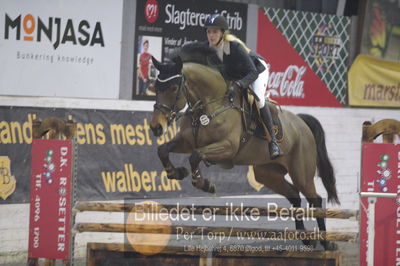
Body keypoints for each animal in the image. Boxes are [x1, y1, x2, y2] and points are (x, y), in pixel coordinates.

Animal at [148, 43, 340, 249]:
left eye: (174, 87)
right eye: (156, 87)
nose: (156, 127)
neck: (210, 104)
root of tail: (302, 123)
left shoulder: (227, 148)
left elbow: (196, 156)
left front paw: (205, 184)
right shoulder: (186, 142)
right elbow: (163, 150)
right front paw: (176, 173)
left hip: (301, 173)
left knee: (315, 199)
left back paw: (326, 243)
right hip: (267, 173)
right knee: (294, 194)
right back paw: (305, 237)